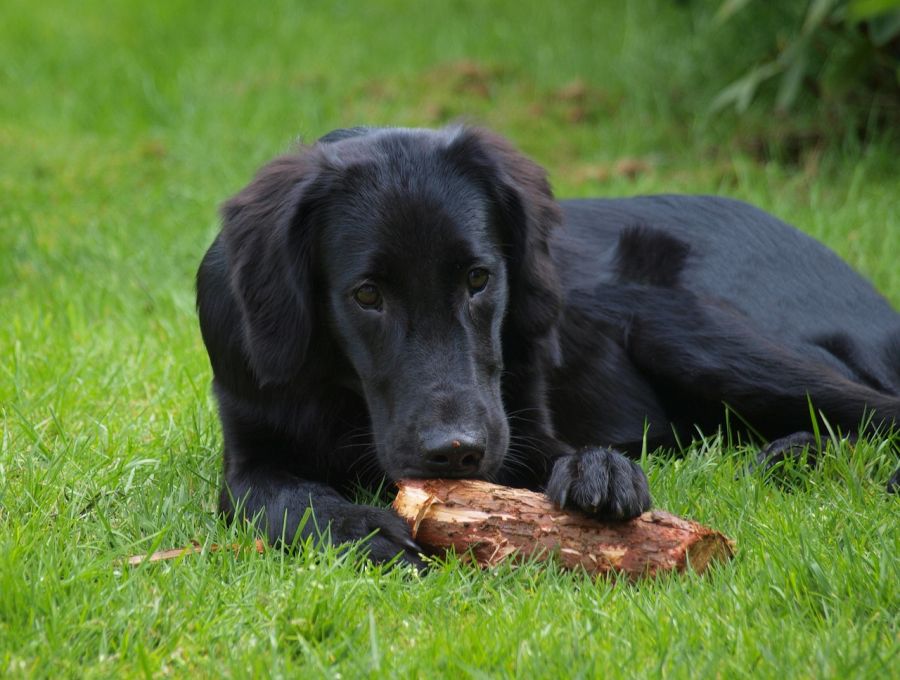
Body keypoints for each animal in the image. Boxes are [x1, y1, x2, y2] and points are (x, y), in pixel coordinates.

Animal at [199, 123, 900, 564]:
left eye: (478, 279)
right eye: (367, 294)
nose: (456, 453)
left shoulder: (524, 424)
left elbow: (558, 452)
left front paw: (600, 470)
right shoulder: (250, 451)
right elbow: (286, 499)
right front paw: (360, 527)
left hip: (686, 330)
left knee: (872, 410)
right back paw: (790, 456)